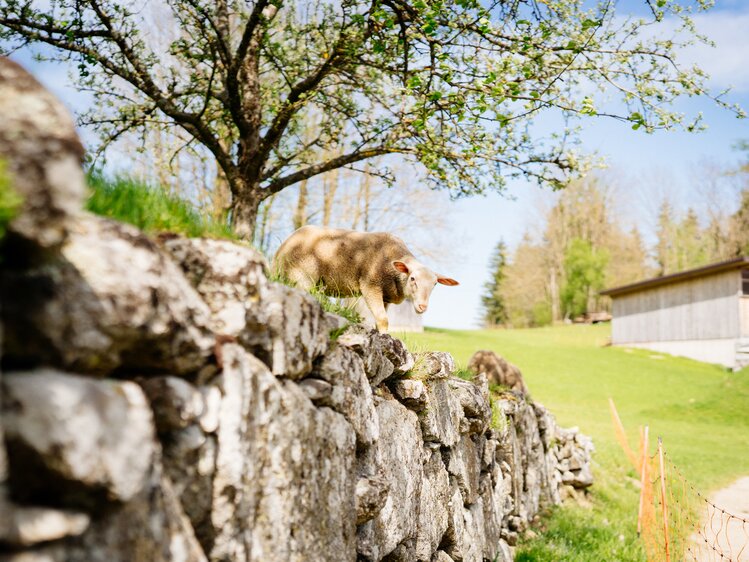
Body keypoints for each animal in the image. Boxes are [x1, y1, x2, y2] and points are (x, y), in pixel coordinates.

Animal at [272, 224, 458, 330]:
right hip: (301, 276)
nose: (422, 306)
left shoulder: (386, 296)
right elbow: (383, 320)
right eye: (413, 279)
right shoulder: (371, 285)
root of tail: (282, 247)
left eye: (435, 284)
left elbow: (380, 319)